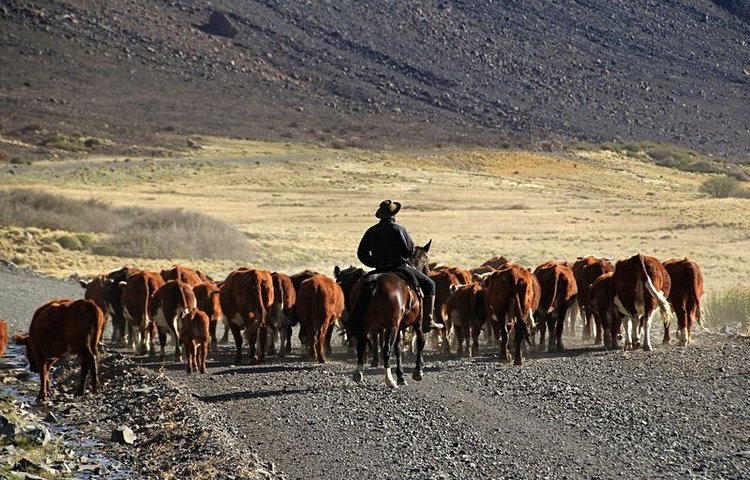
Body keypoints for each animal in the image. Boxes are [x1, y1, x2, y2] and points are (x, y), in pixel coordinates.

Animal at [344, 240, 432, 386]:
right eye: (426, 259)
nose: (429, 271)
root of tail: (374, 283)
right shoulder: (417, 322)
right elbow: (420, 341)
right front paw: (417, 372)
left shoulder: (399, 327)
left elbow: (398, 348)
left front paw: (401, 376)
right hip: (392, 326)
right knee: (386, 349)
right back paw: (389, 380)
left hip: (366, 324)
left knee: (362, 345)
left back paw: (359, 374)